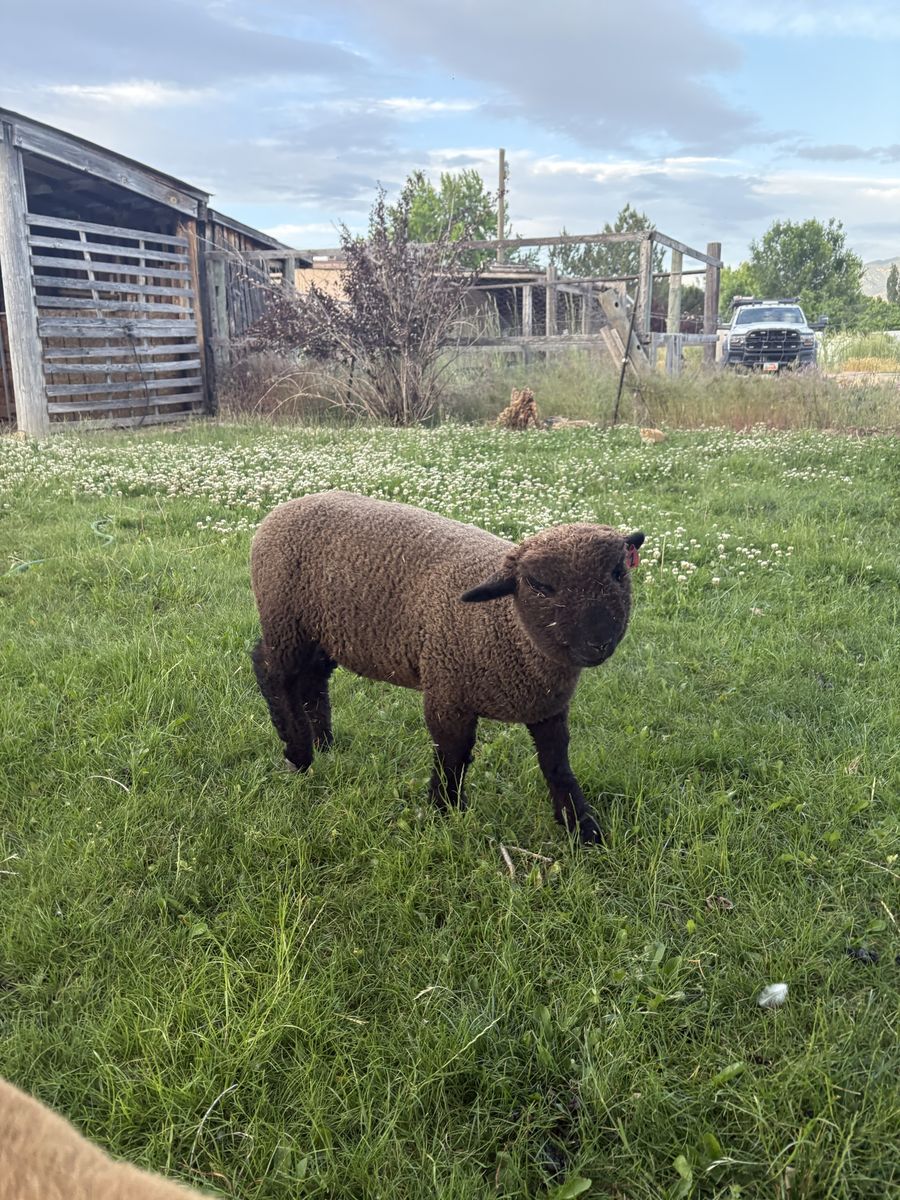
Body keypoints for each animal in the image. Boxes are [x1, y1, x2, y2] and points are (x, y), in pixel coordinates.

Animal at [250, 491, 644, 844]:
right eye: (539, 585)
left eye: (618, 572)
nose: (599, 643)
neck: (504, 622)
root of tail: (283, 509)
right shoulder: (447, 692)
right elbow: (452, 756)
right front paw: (445, 810)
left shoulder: (547, 707)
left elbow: (557, 764)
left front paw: (582, 827)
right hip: (285, 621)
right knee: (271, 671)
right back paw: (298, 753)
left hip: (324, 632)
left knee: (312, 680)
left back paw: (324, 743)